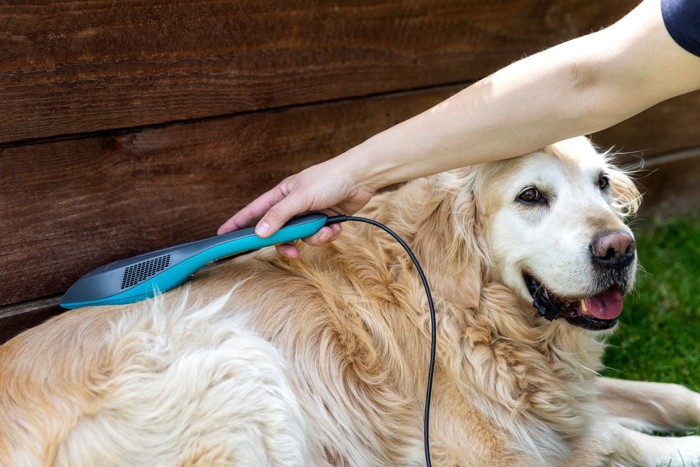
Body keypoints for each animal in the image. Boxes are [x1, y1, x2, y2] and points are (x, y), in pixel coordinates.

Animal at [1, 137, 700, 466]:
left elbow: (651, 397)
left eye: (601, 184)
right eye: (532, 196)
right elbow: (614, 441)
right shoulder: (487, 450)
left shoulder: (560, 397)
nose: (619, 250)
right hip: (238, 363)